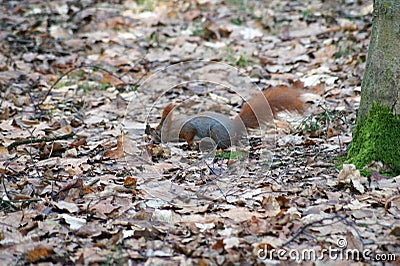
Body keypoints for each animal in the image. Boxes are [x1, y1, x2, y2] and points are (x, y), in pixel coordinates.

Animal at [152, 84, 306, 149]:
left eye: (157, 132)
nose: (153, 141)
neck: (174, 127)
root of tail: (235, 127)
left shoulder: (189, 128)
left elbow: (190, 137)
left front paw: (190, 144)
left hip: (215, 131)